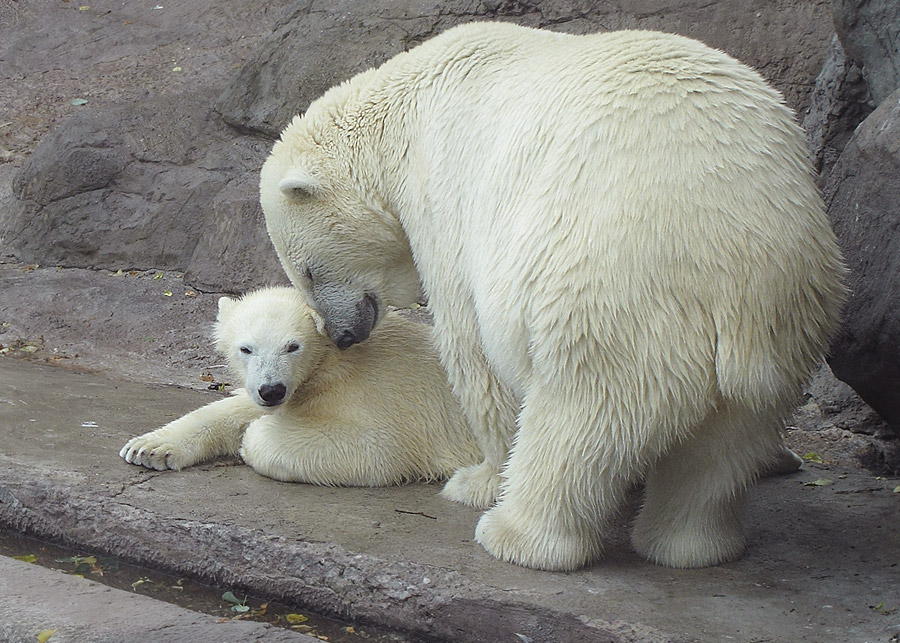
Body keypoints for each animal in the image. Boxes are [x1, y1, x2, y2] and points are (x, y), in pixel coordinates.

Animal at [258, 22, 844, 572]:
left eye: (308, 271)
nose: (342, 335)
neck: (403, 112)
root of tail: (732, 257)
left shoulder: (447, 191)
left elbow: (472, 342)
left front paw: (476, 480)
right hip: (789, 309)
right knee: (726, 440)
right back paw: (692, 545)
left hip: (607, 286)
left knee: (581, 409)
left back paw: (516, 534)